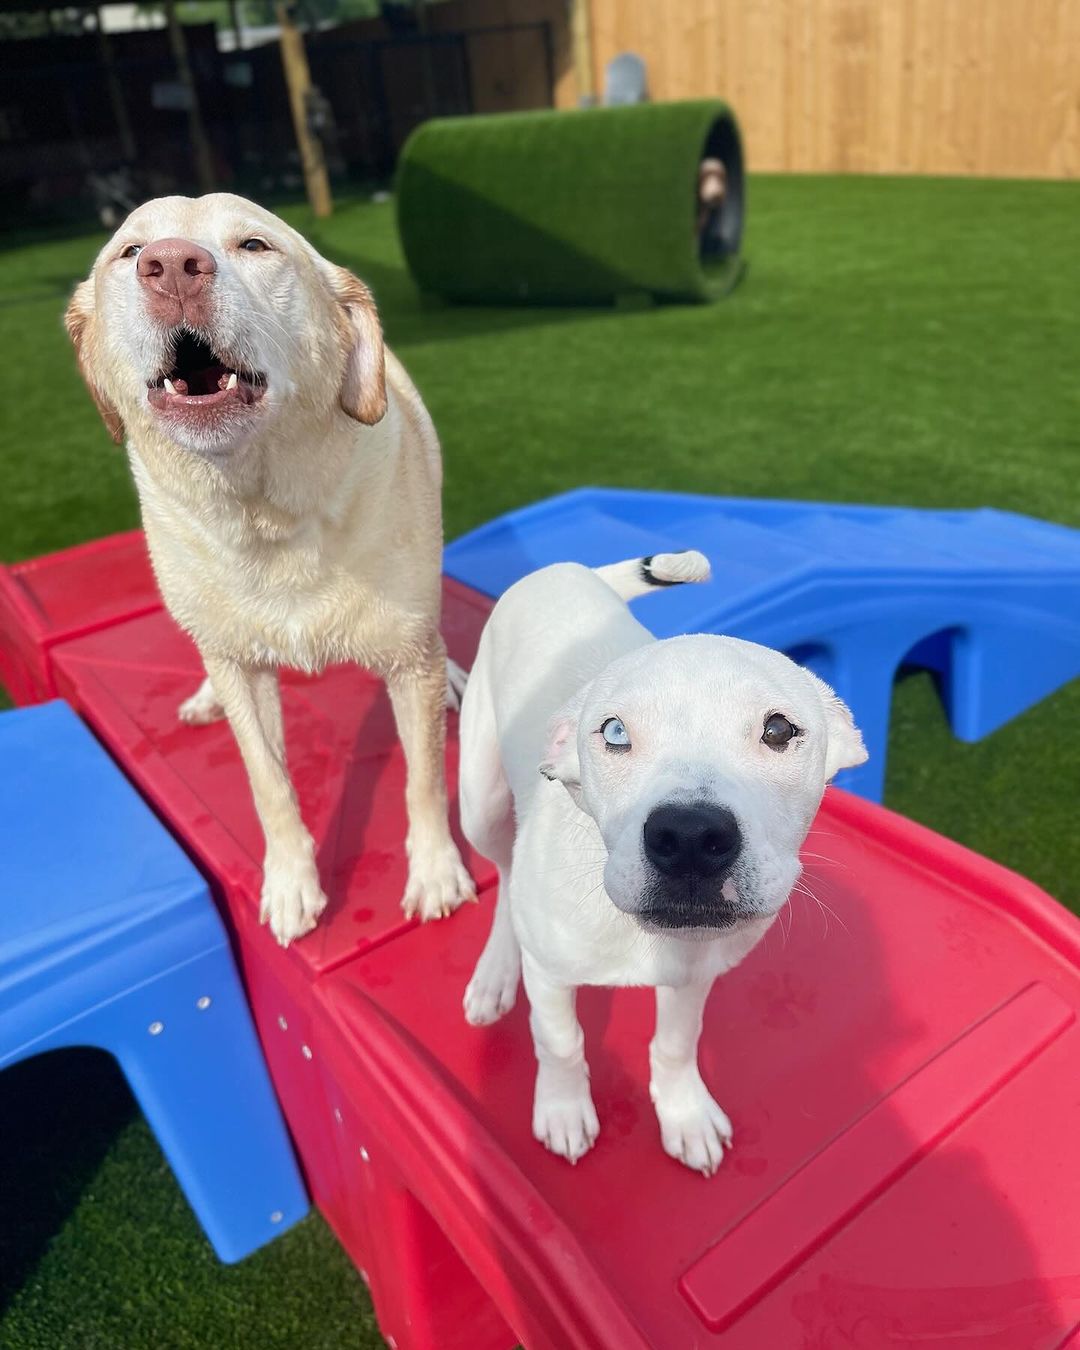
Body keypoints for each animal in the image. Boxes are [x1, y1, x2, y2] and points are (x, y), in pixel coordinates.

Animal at [66, 195, 472, 945]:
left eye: (255, 246)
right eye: (129, 253)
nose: (172, 266)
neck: (265, 519)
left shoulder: (408, 661)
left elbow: (424, 778)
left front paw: (435, 872)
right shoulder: (242, 670)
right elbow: (268, 782)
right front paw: (291, 884)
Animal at [459, 553, 864, 1177]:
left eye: (778, 730)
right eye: (614, 732)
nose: (691, 837)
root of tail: (566, 566)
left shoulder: (695, 970)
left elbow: (676, 1043)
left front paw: (684, 1114)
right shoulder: (550, 974)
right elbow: (559, 1040)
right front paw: (563, 1108)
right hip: (479, 801)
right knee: (504, 879)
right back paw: (495, 972)